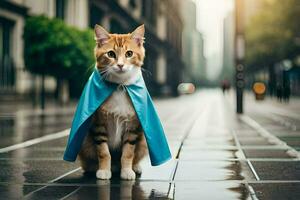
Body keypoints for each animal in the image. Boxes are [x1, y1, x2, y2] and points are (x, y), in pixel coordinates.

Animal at [78, 24, 147, 180]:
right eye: (110, 54)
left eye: (129, 53)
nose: (120, 65)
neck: (119, 87)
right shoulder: (98, 124)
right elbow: (103, 152)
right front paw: (103, 170)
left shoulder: (132, 126)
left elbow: (128, 152)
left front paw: (127, 171)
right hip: (84, 141)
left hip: (143, 141)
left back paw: (135, 166)